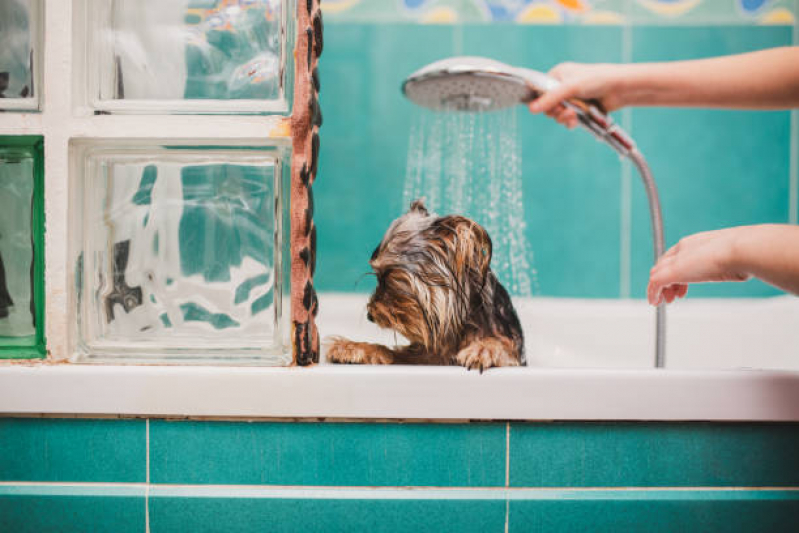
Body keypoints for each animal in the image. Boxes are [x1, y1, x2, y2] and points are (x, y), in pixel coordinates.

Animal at [326, 200, 524, 370]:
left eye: (388, 277)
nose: (369, 315)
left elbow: (502, 347)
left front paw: (483, 349)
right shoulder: (426, 356)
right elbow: (390, 352)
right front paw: (351, 347)